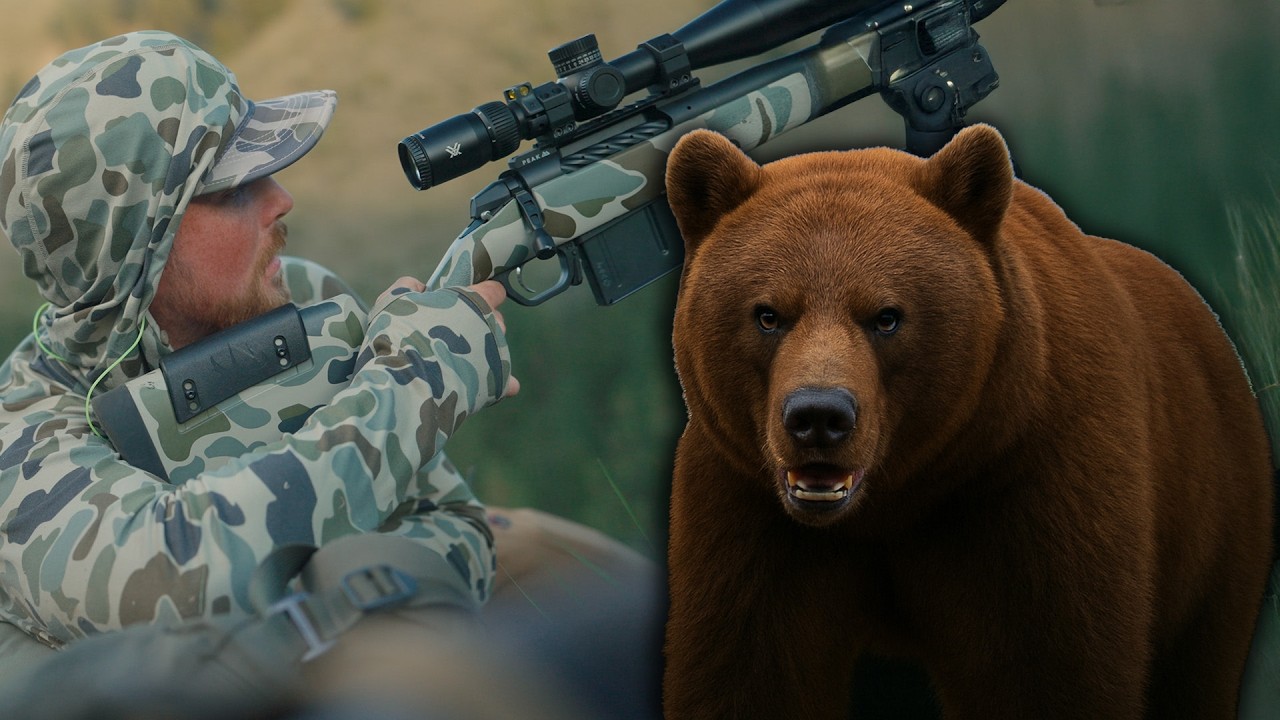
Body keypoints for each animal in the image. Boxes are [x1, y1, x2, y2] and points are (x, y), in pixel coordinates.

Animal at [661, 124, 1275, 720]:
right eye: (768, 314)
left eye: (887, 316)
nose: (818, 417)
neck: (892, 503)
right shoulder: (744, 509)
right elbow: (748, 673)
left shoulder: (1029, 481)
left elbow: (1048, 668)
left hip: (1215, 522)